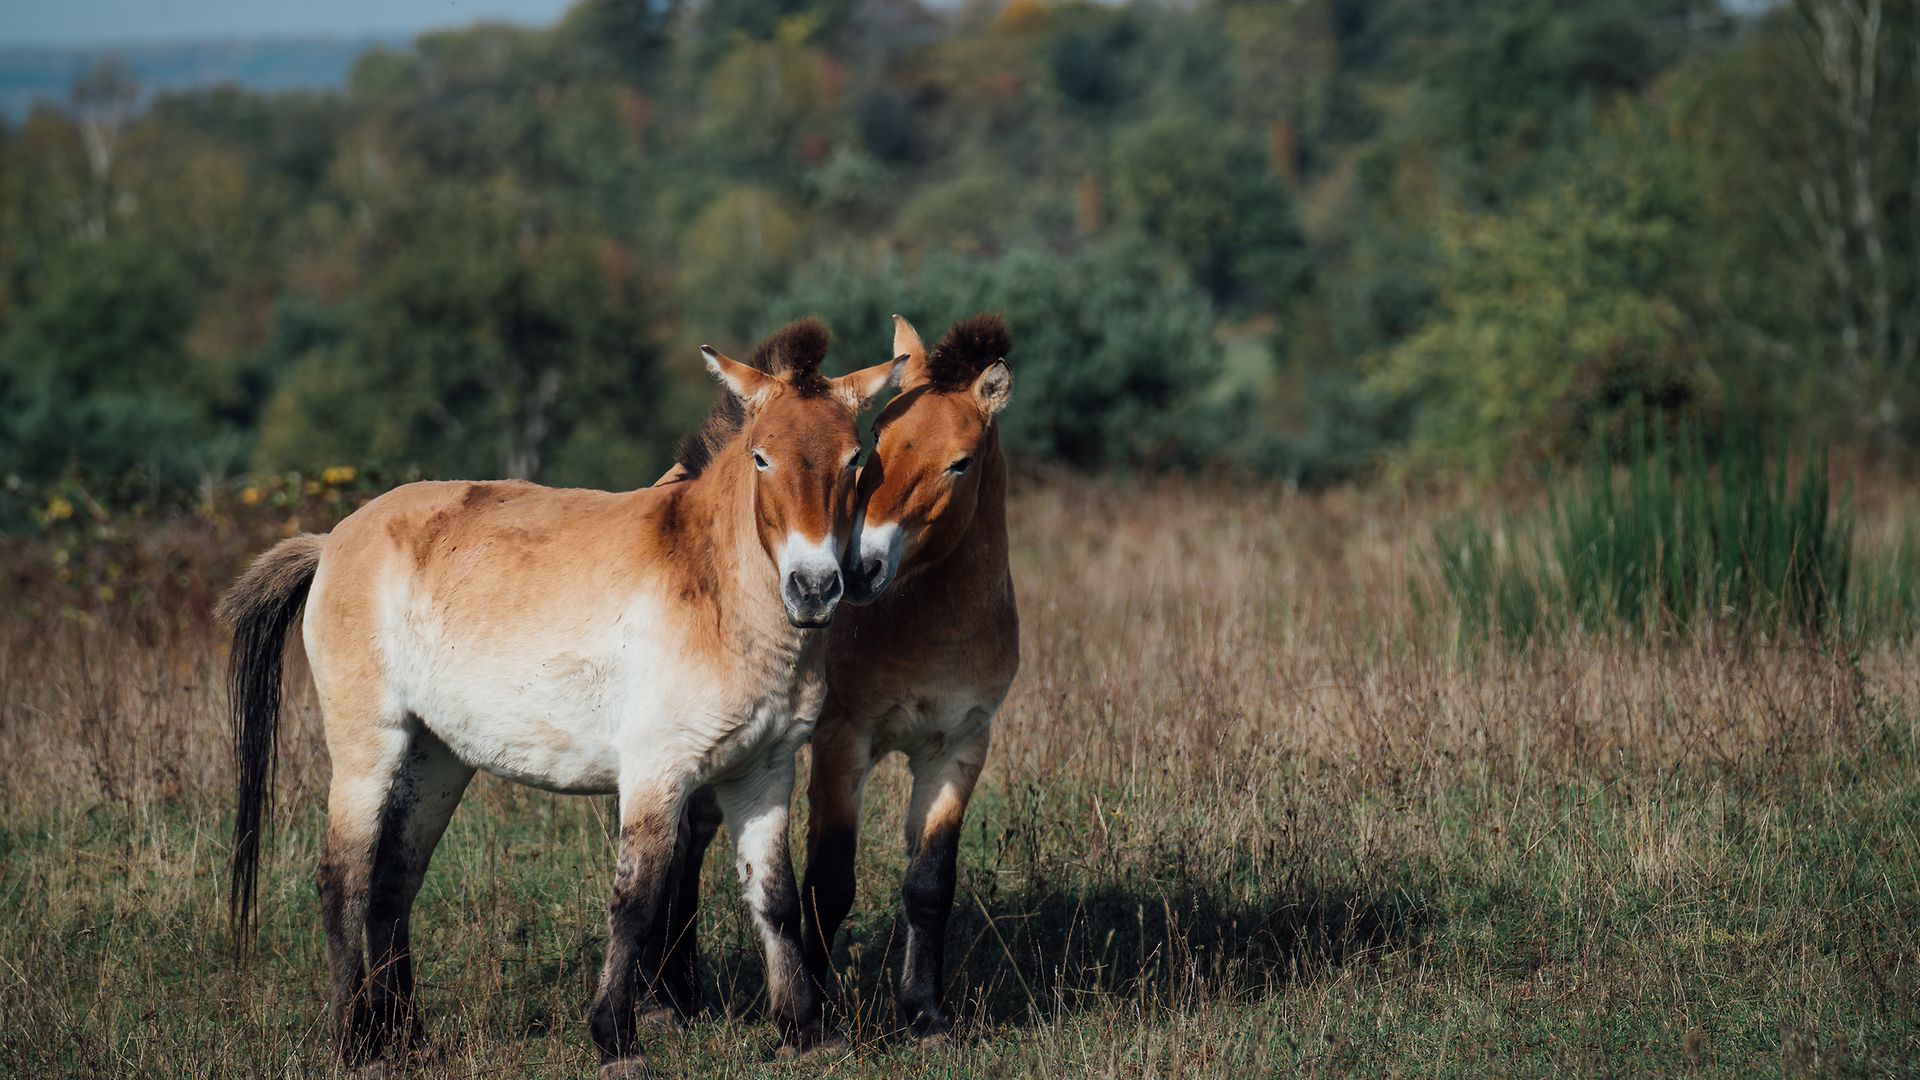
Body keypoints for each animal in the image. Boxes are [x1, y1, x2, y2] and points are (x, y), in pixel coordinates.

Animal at [217, 319, 902, 1075]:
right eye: (761, 458)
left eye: (854, 459)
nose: (814, 588)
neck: (717, 589)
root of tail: (332, 542)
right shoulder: (658, 772)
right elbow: (635, 900)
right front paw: (616, 1039)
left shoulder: (764, 770)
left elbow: (775, 897)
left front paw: (807, 1031)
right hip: (369, 745)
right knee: (344, 876)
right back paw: (357, 1041)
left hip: (437, 757)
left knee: (395, 877)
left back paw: (409, 1035)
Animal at [647, 313, 1018, 1044]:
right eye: (878, 442)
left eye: (960, 461)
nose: (859, 568)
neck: (926, 622)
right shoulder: (843, 743)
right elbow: (830, 881)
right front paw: (814, 1007)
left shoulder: (960, 749)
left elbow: (930, 882)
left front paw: (926, 1014)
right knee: (684, 842)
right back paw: (668, 995)